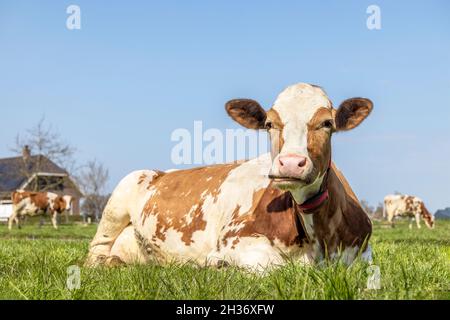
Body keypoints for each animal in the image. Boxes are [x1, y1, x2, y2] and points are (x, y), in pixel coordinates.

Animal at [86, 83, 374, 272]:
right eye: (269, 124)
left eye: (327, 124)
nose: (291, 163)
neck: (319, 241)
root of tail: (160, 171)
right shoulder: (234, 238)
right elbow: (275, 266)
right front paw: (218, 264)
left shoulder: (365, 254)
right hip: (121, 194)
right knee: (96, 250)